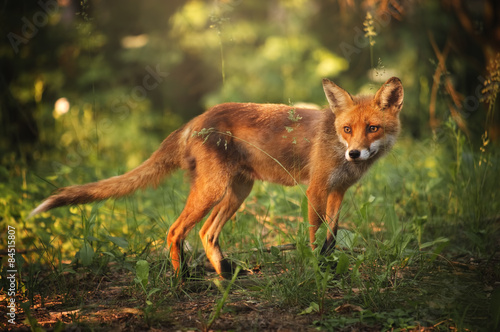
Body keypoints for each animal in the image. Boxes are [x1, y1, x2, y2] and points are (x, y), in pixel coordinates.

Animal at [29, 77, 404, 278]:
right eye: (347, 129)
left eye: (372, 128)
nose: (354, 154)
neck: (336, 146)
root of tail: (195, 120)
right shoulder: (315, 190)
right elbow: (314, 237)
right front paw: (314, 269)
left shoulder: (338, 191)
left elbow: (332, 236)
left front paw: (329, 265)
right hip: (214, 190)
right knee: (175, 230)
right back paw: (181, 280)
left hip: (238, 191)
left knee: (207, 233)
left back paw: (224, 275)